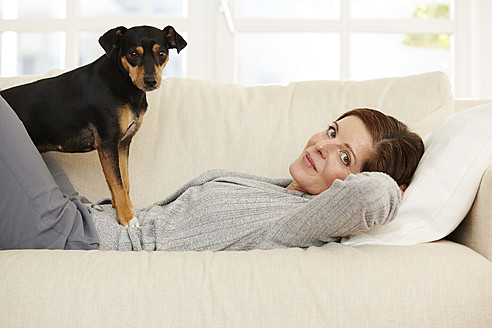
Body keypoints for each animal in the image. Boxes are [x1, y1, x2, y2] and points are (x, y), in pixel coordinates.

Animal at [0, 25, 186, 227]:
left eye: (161, 53)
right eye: (133, 54)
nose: (151, 81)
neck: (122, 83)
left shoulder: (123, 144)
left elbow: (125, 181)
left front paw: (127, 208)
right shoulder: (107, 142)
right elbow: (117, 183)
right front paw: (127, 218)